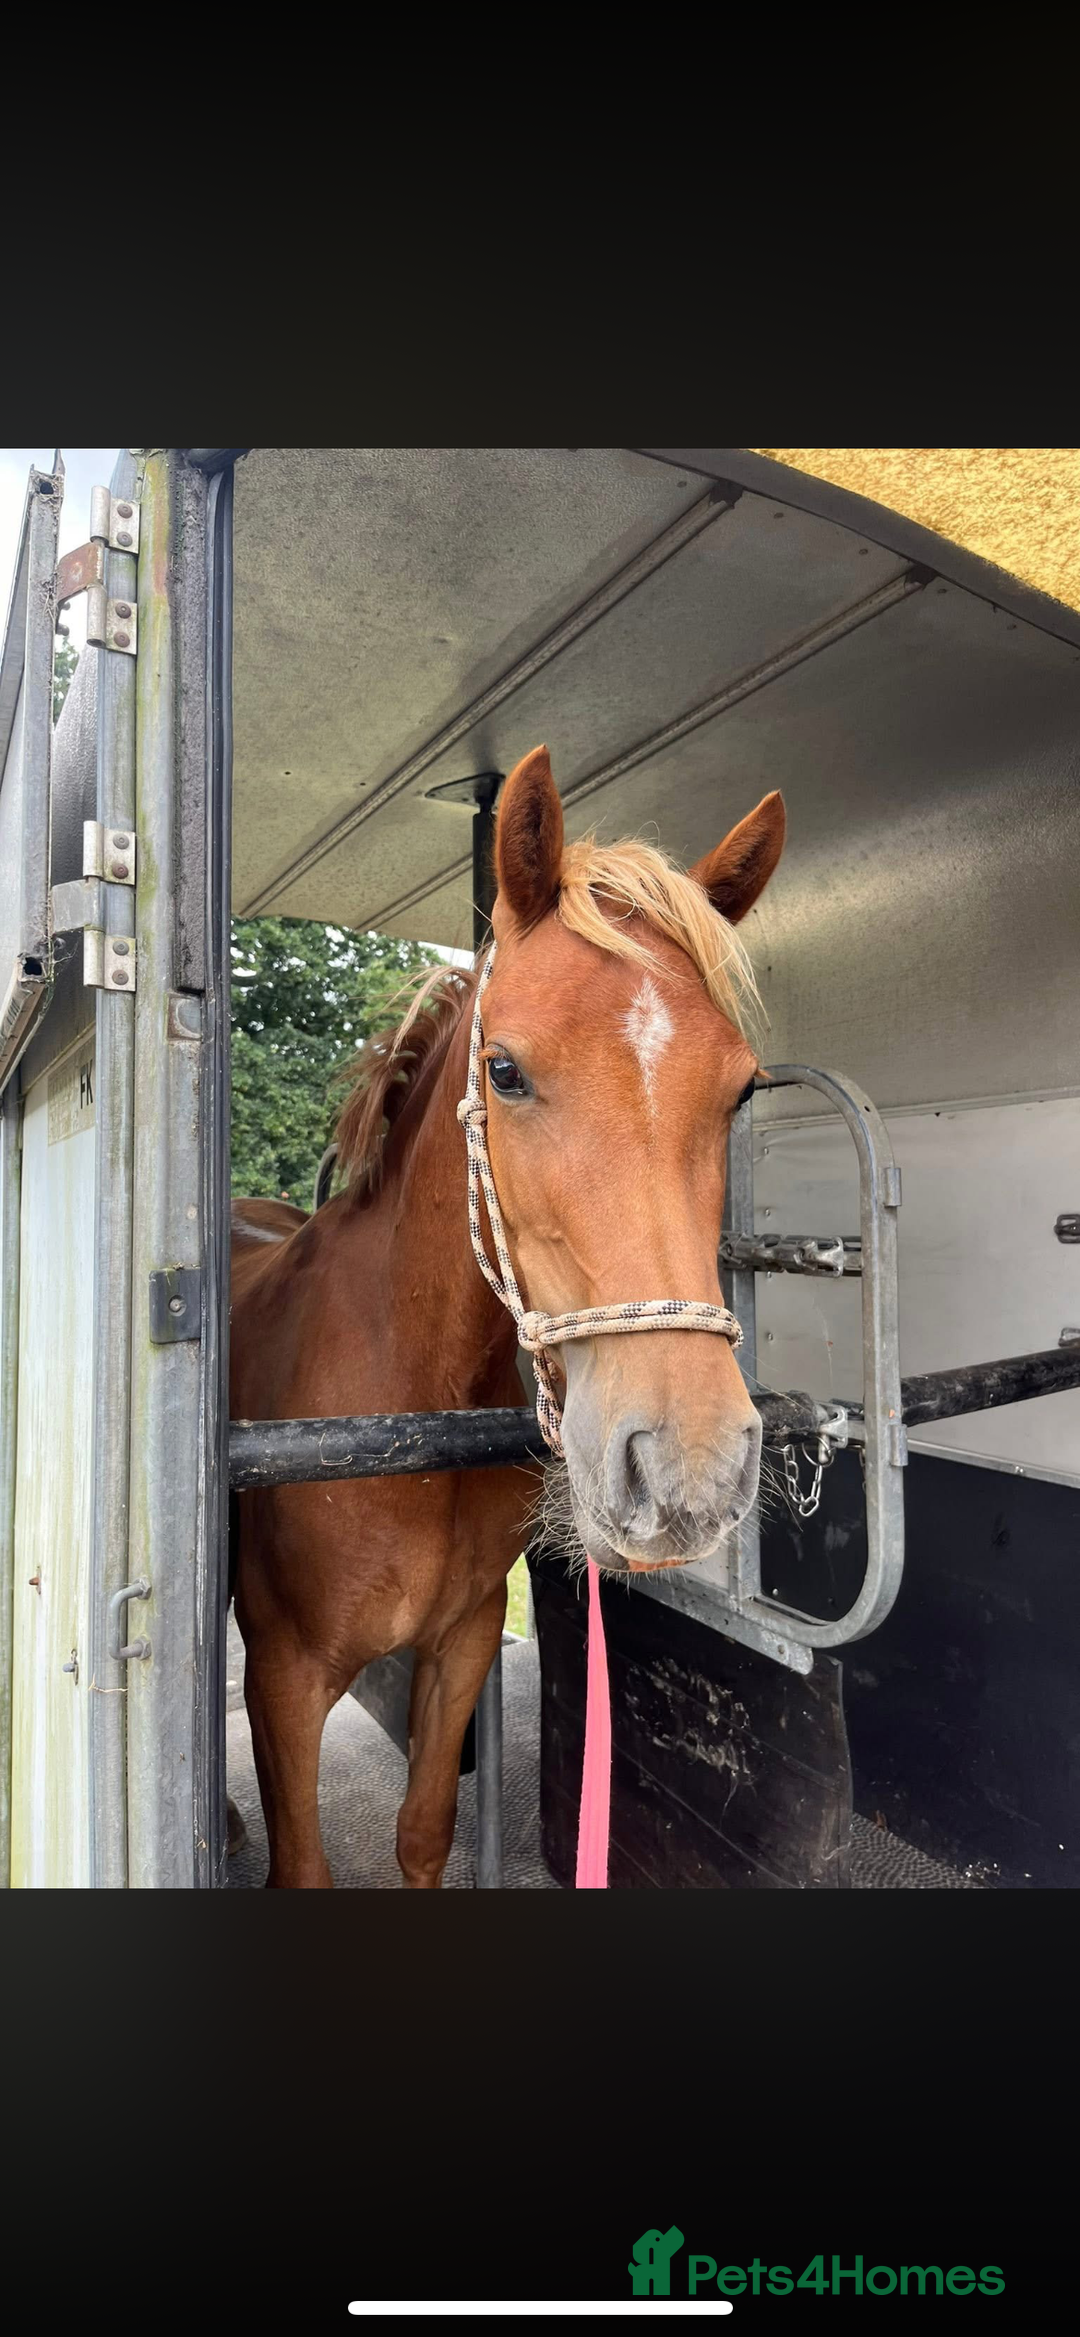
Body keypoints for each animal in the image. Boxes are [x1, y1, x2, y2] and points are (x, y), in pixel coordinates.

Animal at [229, 745, 786, 1887]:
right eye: (505, 1071)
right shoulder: (282, 1680)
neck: (400, 1403)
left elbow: (424, 1833)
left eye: (743, 1090)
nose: (691, 1467)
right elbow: (302, 1864)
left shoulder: (464, 1644)